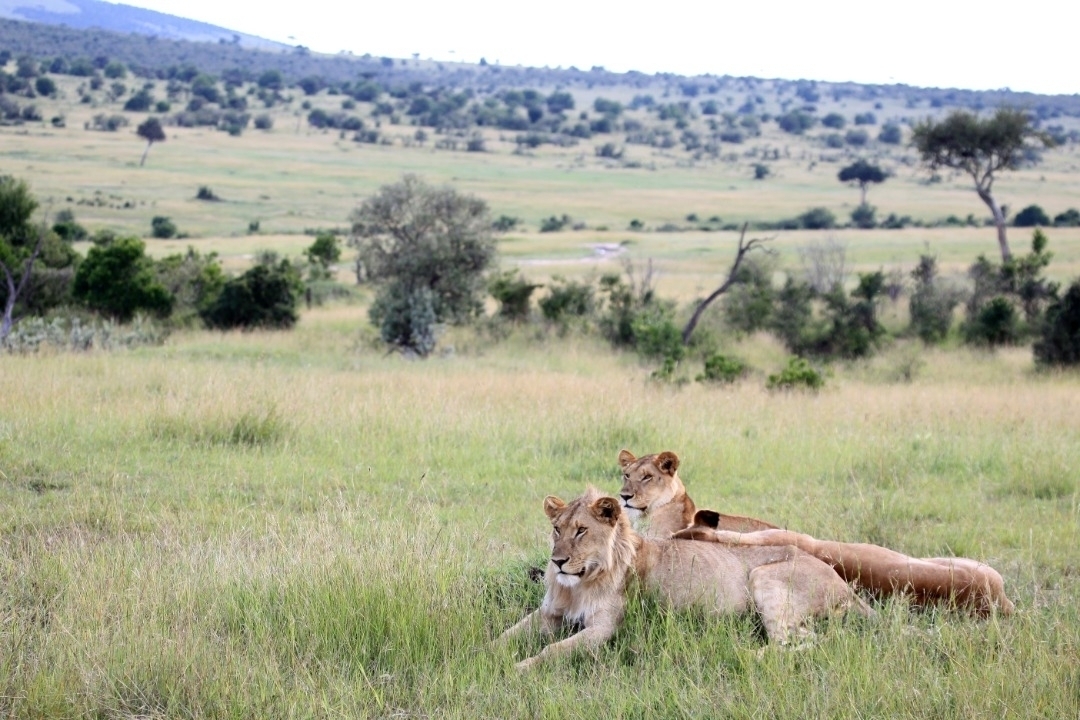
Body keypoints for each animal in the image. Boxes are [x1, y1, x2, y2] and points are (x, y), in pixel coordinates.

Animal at [498, 487, 871, 670]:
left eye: (581, 531)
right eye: (557, 529)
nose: (557, 561)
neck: (579, 583)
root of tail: (845, 586)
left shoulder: (604, 628)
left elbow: (554, 650)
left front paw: (520, 668)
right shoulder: (549, 613)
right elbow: (505, 636)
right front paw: (486, 655)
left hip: (765, 577)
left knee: (806, 641)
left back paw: (741, 655)